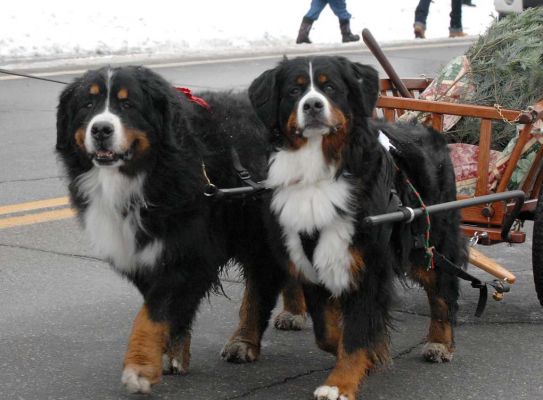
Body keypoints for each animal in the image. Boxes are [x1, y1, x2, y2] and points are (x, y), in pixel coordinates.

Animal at [55, 65, 292, 394]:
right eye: (87, 104)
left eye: (128, 104)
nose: (101, 129)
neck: (144, 175)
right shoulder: (145, 252)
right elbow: (169, 312)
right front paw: (170, 354)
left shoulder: (190, 251)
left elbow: (154, 313)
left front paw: (140, 366)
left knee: (261, 285)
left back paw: (245, 340)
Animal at [249, 57, 470, 400]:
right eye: (294, 90)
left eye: (330, 87)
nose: (312, 105)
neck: (318, 168)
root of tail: (428, 128)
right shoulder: (311, 259)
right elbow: (328, 330)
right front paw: (368, 354)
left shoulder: (369, 263)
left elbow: (357, 332)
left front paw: (339, 384)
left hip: (427, 242)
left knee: (442, 290)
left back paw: (439, 343)